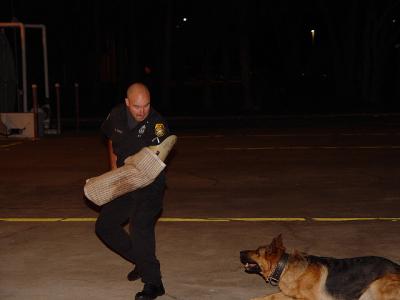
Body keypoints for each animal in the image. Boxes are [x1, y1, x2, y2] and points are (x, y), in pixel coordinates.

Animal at [241, 236, 400, 298]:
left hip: (376, 285)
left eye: (257, 252)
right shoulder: (289, 294)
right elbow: (268, 296)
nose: (240, 252)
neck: (284, 266)